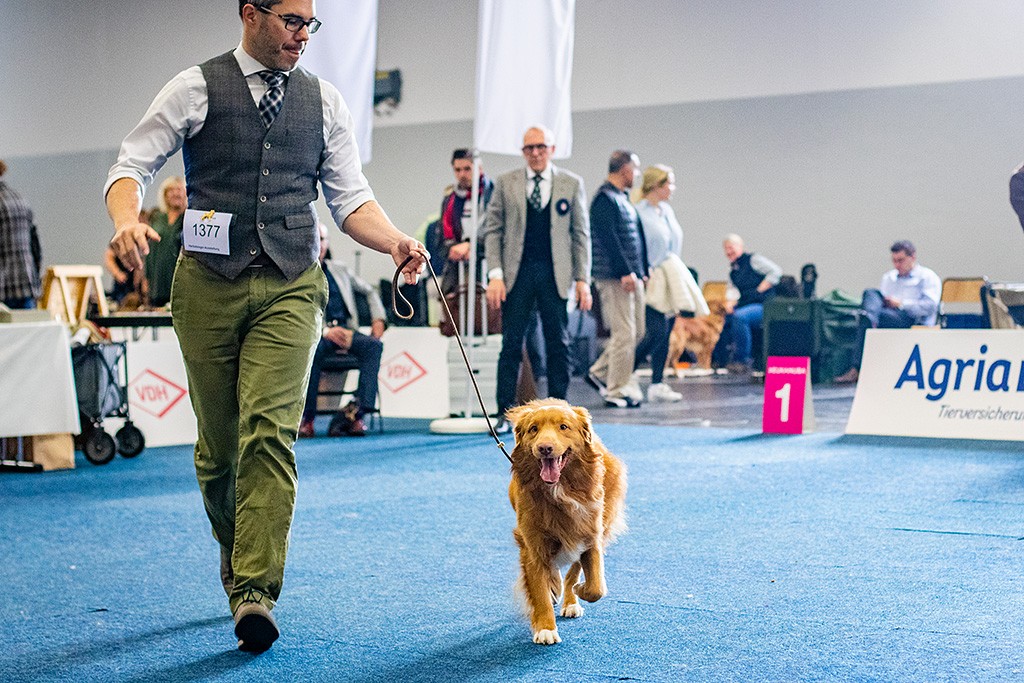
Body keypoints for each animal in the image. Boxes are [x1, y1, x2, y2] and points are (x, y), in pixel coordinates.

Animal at [501, 397, 622, 643]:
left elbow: (596, 587)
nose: (544, 448)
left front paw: (579, 590)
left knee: (573, 569)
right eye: (533, 429)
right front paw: (545, 628)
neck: (559, 489)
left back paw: (570, 599)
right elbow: (539, 591)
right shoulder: (532, 545)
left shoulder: (590, 537)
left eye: (563, 427)